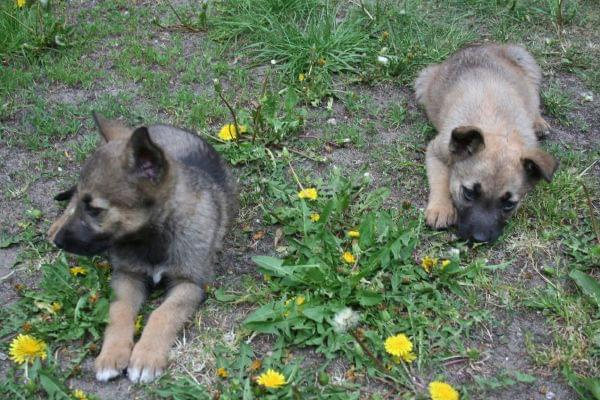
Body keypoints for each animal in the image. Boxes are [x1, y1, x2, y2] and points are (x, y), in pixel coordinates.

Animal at [414, 45, 556, 242]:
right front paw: (441, 209)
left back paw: (539, 122)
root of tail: (480, 45)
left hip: (527, 68)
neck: (496, 128)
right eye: (468, 193)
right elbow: (440, 179)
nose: (478, 239)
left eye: (509, 205)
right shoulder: (436, 150)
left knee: (534, 101)